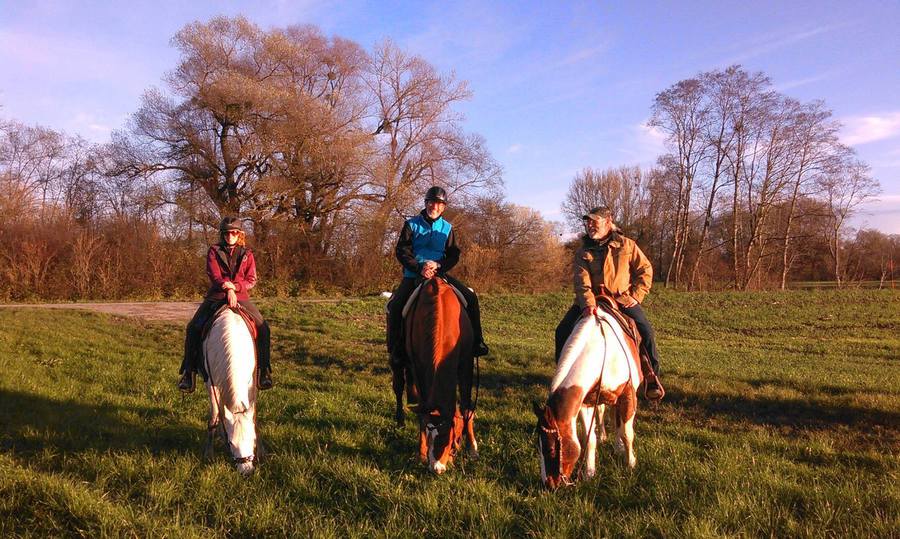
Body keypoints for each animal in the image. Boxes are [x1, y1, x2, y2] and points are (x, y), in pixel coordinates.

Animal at [203, 306, 259, 475]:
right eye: (231, 443)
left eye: (253, 439)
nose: (246, 471)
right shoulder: (212, 384)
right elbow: (215, 416)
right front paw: (209, 453)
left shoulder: (250, 382)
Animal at [403, 277, 478, 474]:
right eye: (430, 436)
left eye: (450, 436)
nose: (437, 468)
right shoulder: (418, 368)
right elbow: (422, 413)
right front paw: (421, 453)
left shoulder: (466, 363)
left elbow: (466, 407)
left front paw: (472, 448)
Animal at [534, 304, 641, 489]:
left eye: (550, 449)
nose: (548, 484)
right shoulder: (586, 403)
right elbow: (589, 439)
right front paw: (589, 474)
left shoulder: (628, 394)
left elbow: (627, 433)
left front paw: (631, 464)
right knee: (604, 413)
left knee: (617, 420)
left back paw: (618, 447)